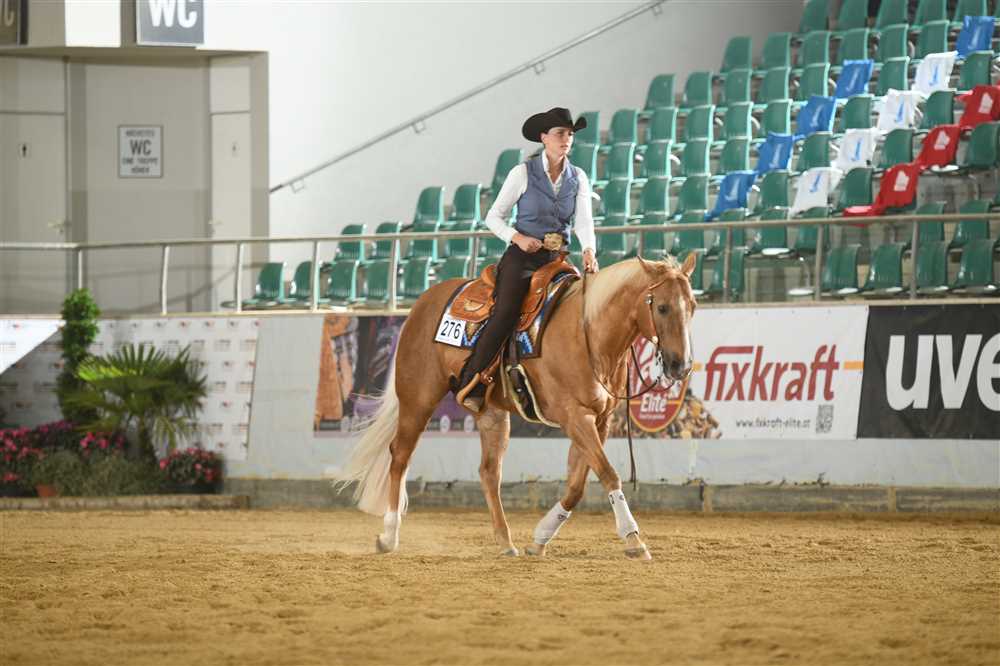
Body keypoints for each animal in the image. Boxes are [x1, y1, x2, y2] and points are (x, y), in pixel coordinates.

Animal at [334, 253, 697, 560]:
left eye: (692, 305)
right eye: (662, 307)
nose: (680, 365)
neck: (588, 334)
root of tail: (423, 302)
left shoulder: (600, 419)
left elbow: (577, 484)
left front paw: (540, 538)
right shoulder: (574, 416)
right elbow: (608, 474)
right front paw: (633, 539)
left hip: (491, 413)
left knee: (489, 472)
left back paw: (505, 541)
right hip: (418, 397)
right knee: (399, 456)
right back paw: (389, 535)